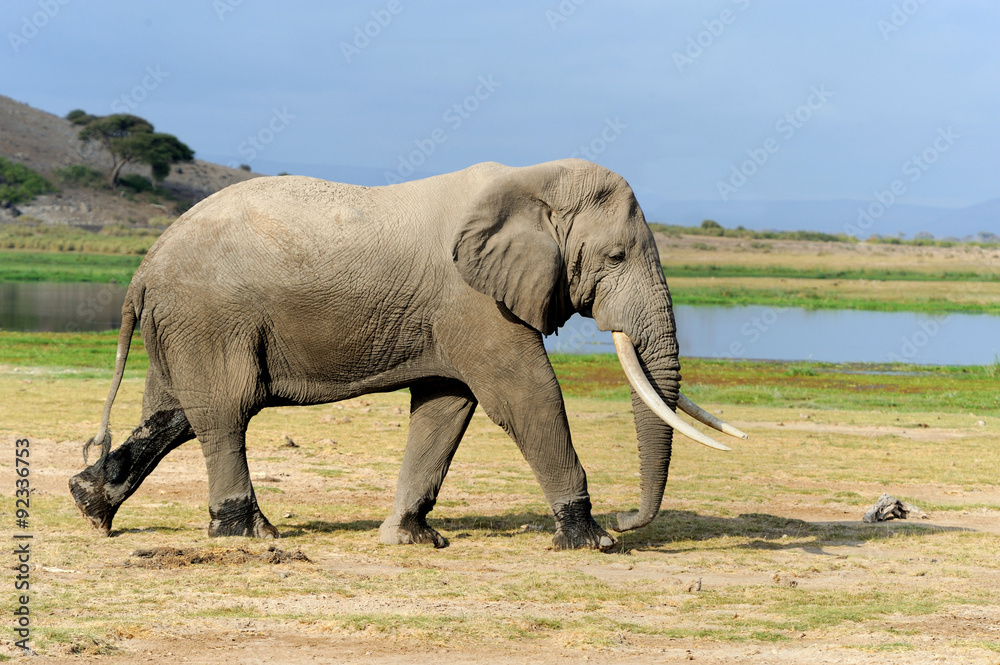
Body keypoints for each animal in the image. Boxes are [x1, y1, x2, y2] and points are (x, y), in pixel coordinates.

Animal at [69, 159, 746, 551]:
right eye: (614, 258)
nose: (630, 519)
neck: (532, 177)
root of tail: (143, 268)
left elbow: (447, 407)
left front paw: (412, 540)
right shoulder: (474, 299)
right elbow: (527, 395)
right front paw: (592, 541)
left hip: (183, 324)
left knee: (175, 415)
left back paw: (91, 505)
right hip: (209, 316)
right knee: (225, 412)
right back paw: (248, 535)